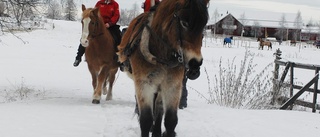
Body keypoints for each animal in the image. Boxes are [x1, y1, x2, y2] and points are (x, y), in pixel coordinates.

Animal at [117, 0, 210, 136]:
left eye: (203, 25)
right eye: (184, 23)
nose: (195, 63)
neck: (161, 57)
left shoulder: (173, 86)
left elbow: (170, 120)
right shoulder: (144, 84)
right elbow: (146, 120)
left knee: (159, 110)